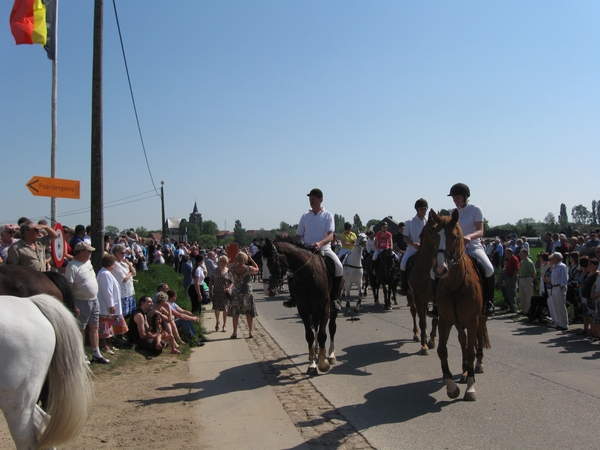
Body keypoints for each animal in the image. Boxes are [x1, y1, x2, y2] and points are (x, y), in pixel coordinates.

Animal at [262, 237, 340, 374]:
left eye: (271, 261)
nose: (267, 290)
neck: (308, 274)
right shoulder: (303, 308)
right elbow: (309, 335)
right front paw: (312, 364)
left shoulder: (324, 307)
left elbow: (323, 334)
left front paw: (323, 363)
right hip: (313, 309)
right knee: (315, 326)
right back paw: (316, 351)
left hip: (330, 306)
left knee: (331, 327)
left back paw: (330, 355)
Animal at [424, 209, 490, 402]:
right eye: (435, 235)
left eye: (454, 237)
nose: (440, 270)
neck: (454, 284)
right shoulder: (445, 320)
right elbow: (442, 350)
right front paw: (451, 387)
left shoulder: (473, 320)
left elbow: (470, 351)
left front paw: (470, 388)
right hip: (459, 322)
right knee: (463, 341)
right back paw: (464, 371)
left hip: (480, 319)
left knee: (477, 341)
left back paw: (478, 365)